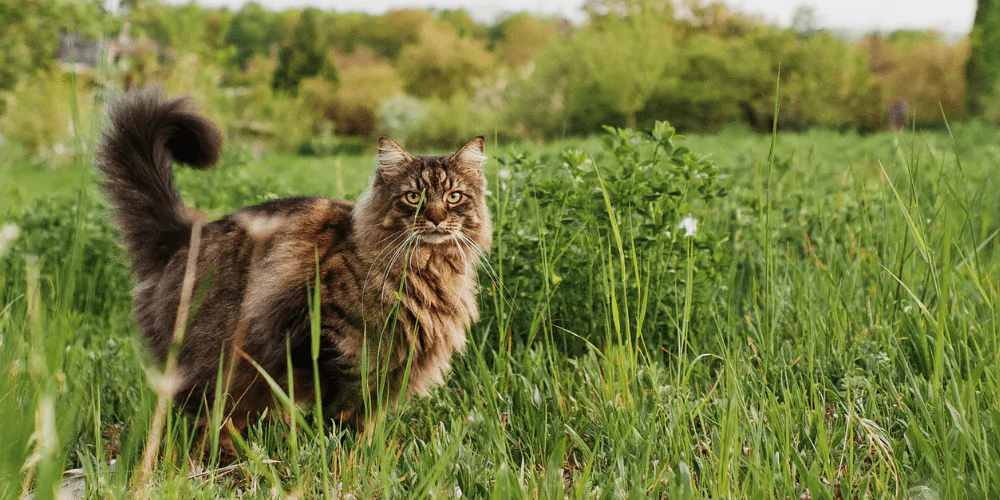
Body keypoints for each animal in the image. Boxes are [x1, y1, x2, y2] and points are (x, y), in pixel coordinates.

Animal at [95, 89, 494, 458]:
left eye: (455, 197)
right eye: (414, 197)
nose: (437, 218)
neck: (426, 266)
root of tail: (182, 236)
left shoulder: (388, 369)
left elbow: (368, 418)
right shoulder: (333, 346)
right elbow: (344, 414)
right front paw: (351, 458)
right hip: (216, 365)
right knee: (201, 419)